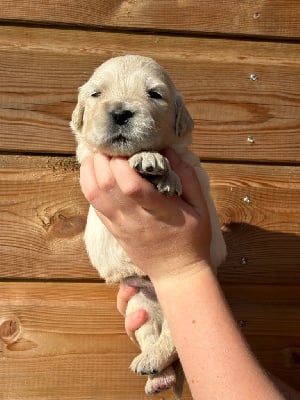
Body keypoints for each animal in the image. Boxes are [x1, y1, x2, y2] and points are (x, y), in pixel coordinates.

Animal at [70, 54, 226, 398]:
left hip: (179, 312)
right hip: (138, 305)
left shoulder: (191, 165)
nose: (120, 113)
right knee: (152, 335)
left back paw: (155, 364)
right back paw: (157, 375)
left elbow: (177, 162)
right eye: (96, 94)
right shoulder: (89, 157)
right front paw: (151, 162)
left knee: (174, 341)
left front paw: (159, 168)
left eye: (154, 94)